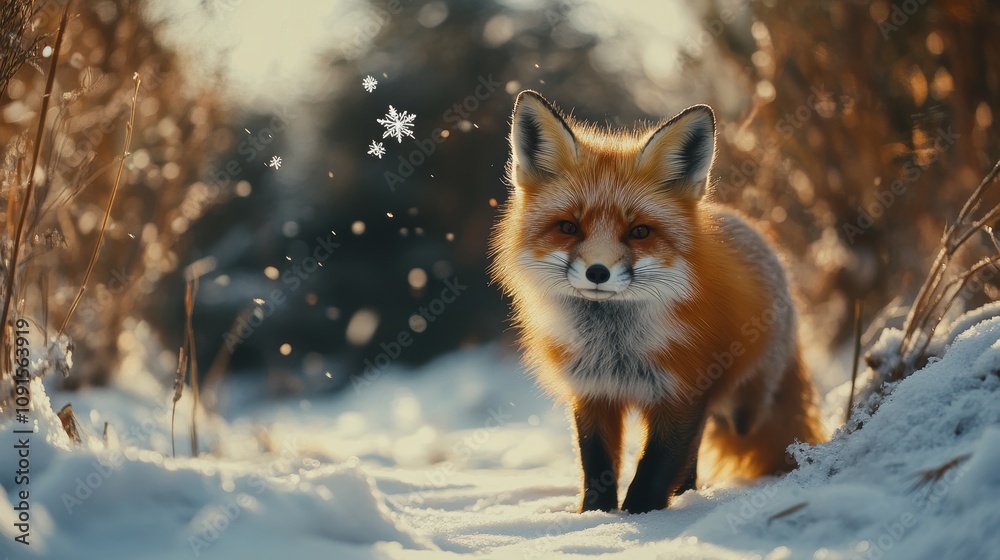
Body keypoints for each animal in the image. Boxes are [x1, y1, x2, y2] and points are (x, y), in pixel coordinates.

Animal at [489, 91, 825, 514]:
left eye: (639, 232)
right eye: (568, 227)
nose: (597, 272)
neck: (615, 347)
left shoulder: (685, 390)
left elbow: (657, 464)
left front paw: (644, 515)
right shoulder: (593, 391)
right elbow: (596, 462)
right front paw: (594, 515)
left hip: (743, 408)